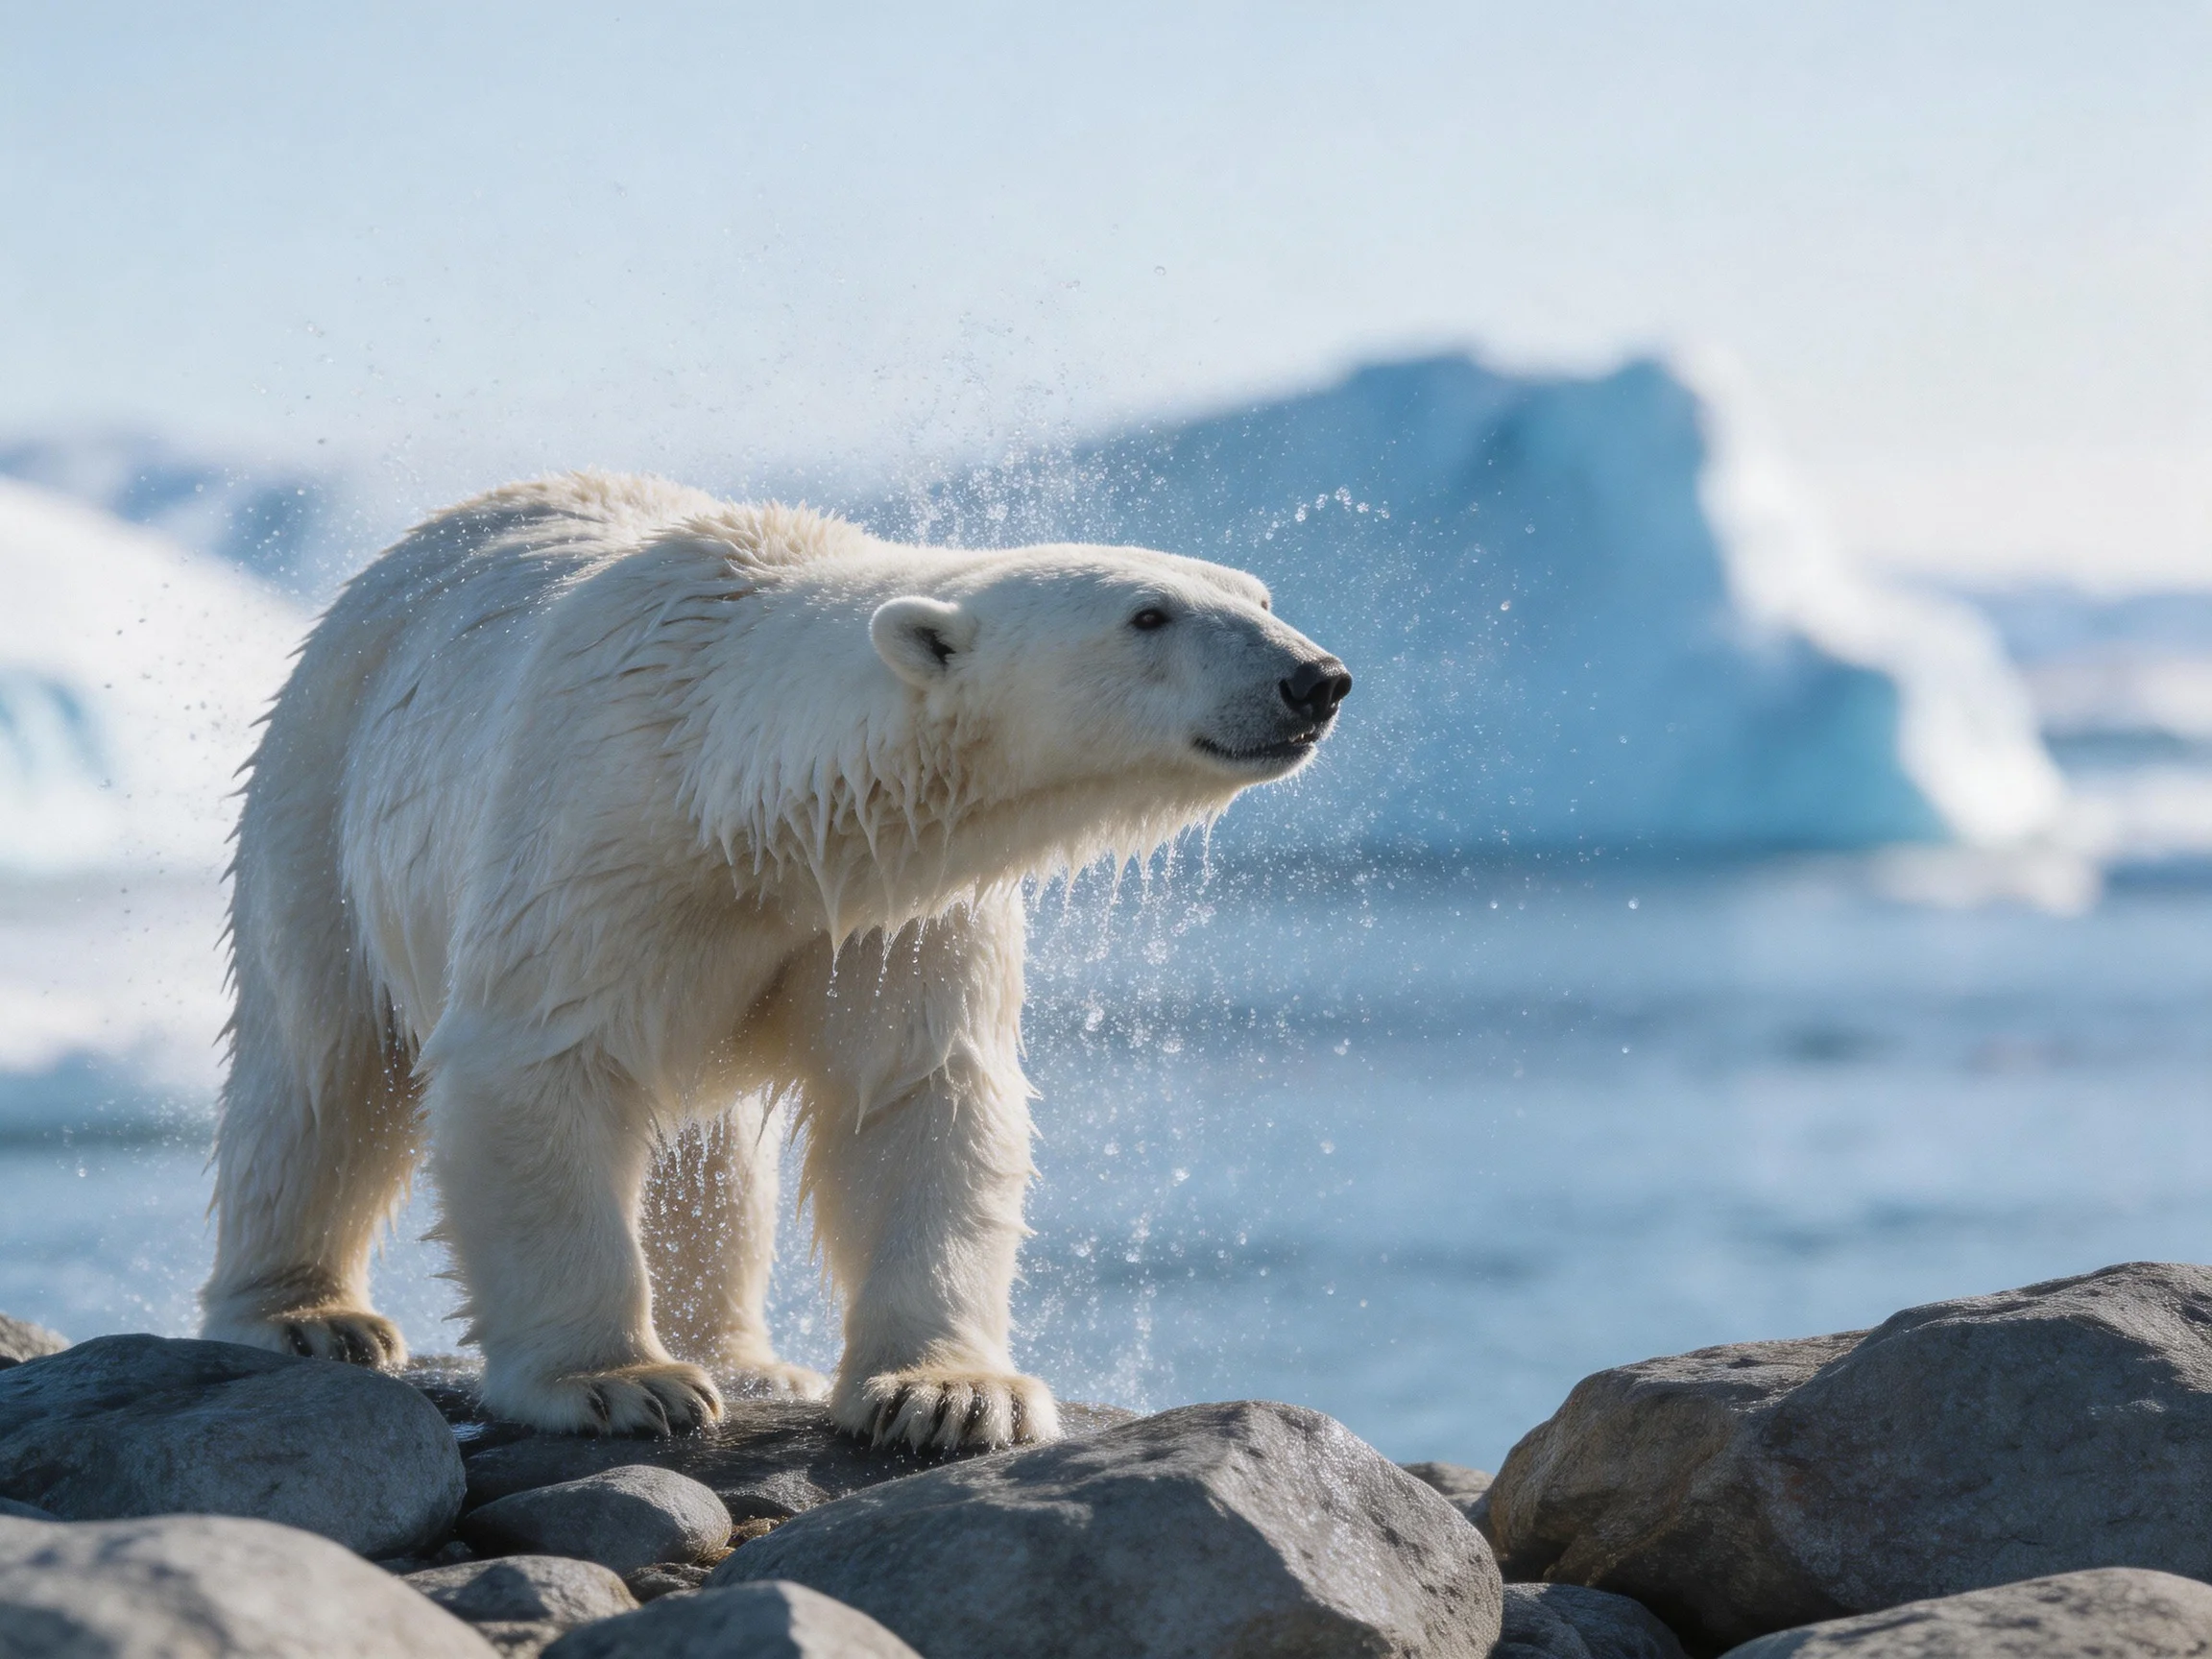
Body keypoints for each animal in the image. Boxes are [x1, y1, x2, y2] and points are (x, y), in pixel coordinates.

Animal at [199, 471, 1350, 1449]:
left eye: (1257, 592)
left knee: (704, 1158)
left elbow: (921, 1093)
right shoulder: (592, 833)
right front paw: (619, 1382)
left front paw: (949, 1393)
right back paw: (309, 1315)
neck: (739, 793)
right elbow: (538, 1062)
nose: (1317, 678)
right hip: (321, 781)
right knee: (321, 1063)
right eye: (1149, 615)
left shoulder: (894, 904)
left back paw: (748, 1358)